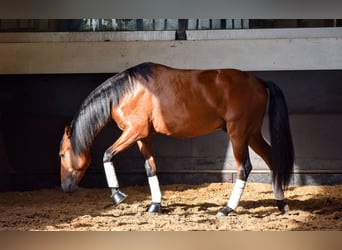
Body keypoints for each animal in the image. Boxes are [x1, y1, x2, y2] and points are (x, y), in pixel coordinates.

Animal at [58, 62, 294, 215]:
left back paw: (228, 208)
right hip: (251, 134)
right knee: (272, 160)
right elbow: (150, 168)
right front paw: (155, 205)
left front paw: (117, 195)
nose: (65, 187)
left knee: (244, 167)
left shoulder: (133, 132)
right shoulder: (143, 137)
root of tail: (258, 81)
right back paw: (281, 204)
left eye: (62, 154)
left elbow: (107, 155)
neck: (127, 91)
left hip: (238, 134)